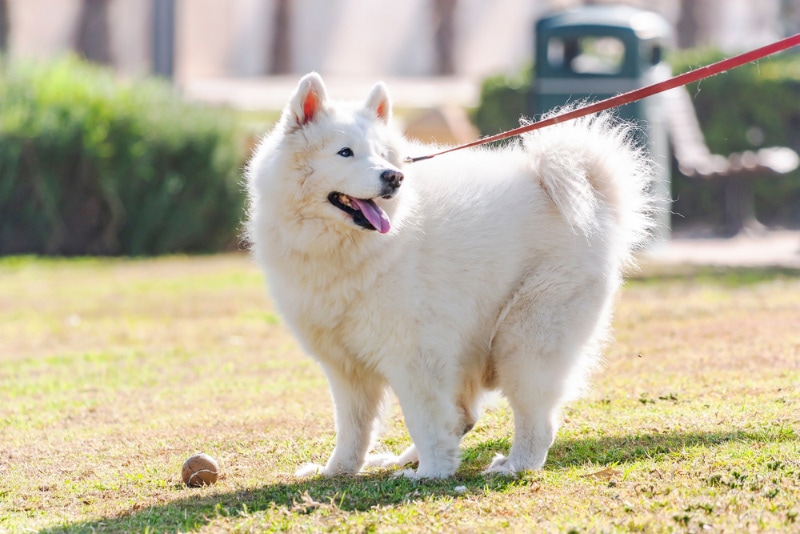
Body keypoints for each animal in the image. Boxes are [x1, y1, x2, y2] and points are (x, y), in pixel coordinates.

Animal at [245, 73, 656, 480]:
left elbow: (423, 419)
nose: (393, 176)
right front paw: (338, 471)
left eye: (382, 154)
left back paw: (513, 465)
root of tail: (591, 192)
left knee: (535, 421)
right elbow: (353, 428)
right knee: (464, 417)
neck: (347, 249)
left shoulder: (415, 355)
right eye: (345, 152)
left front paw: (433, 474)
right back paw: (402, 460)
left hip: (525, 339)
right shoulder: (346, 366)